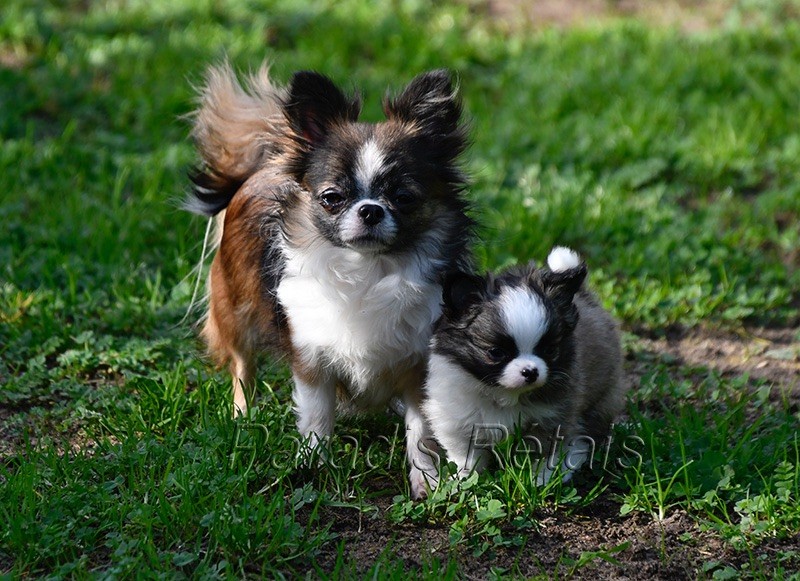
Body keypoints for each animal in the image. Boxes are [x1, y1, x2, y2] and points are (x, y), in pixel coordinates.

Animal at [186, 64, 476, 498]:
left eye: (404, 198)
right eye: (332, 198)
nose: (370, 210)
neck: (367, 272)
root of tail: (269, 161)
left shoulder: (421, 366)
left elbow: (421, 430)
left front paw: (426, 480)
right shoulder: (311, 360)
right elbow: (317, 417)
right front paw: (312, 466)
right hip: (237, 310)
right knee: (242, 366)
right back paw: (243, 415)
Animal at [422, 247, 628, 482]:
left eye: (550, 350)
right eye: (495, 353)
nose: (531, 371)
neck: (503, 395)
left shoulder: (551, 416)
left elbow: (544, 450)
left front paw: (540, 476)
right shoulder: (456, 417)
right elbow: (465, 453)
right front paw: (463, 477)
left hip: (600, 401)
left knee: (586, 436)